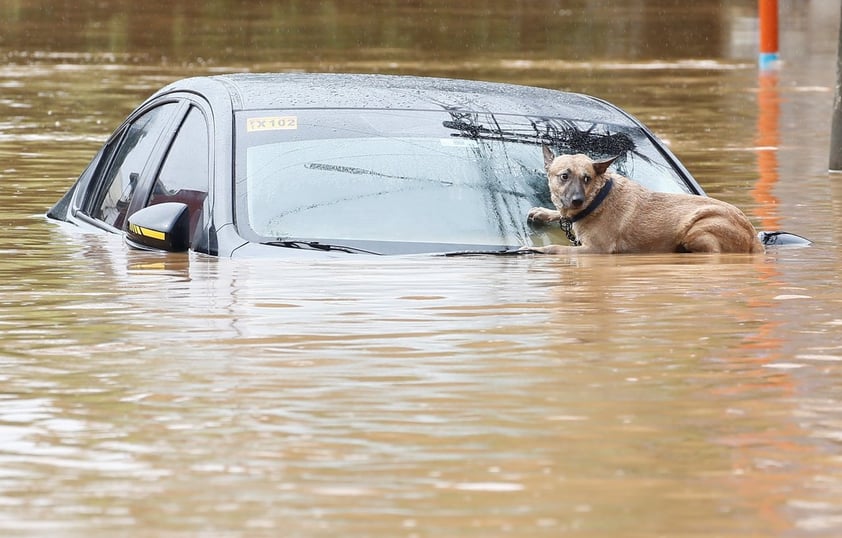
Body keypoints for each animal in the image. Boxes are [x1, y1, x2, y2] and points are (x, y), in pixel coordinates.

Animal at [524, 148, 760, 254]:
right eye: (564, 176)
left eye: (586, 178)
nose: (577, 201)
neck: (597, 199)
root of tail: (752, 236)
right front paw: (544, 212)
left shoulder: (595, 250)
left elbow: (558, 248)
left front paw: (539, 249)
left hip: (696, 229)